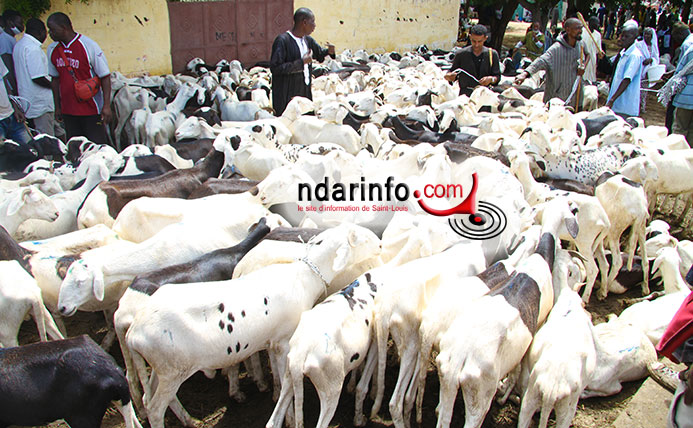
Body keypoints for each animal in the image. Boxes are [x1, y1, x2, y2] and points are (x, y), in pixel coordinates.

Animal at [127, 224, 382, 428]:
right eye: (359, 238)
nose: (380, 244)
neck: (303, 275)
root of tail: (134, 332)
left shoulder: (273, 342)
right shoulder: (283, 341)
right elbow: (286, 382)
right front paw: (289, 418)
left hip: (163, 368)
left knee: (150, 399)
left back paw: (189, 420)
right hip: (172, 370)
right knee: (155, 408)